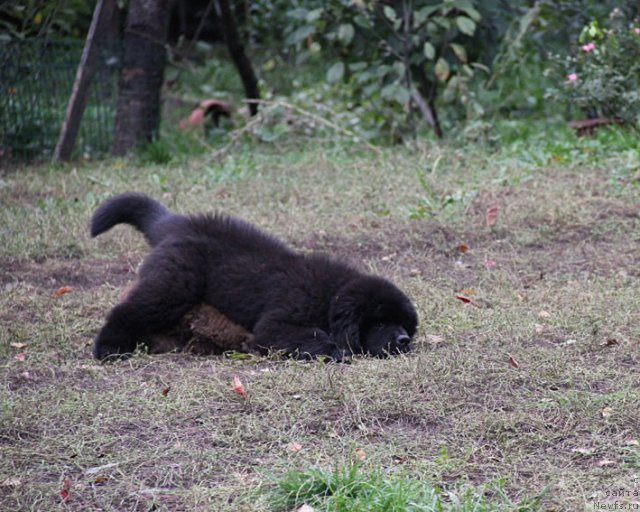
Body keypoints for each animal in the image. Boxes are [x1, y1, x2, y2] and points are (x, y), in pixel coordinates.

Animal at [91, 192, 420, 360]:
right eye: (379, 322)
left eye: (404, 324)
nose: (403, 339)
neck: (331, 296)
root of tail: (176, 224)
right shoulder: (278, 323)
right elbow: (310, 336)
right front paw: (336, 350)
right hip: (175, 284)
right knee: (133, 309)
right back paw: (108, 347)